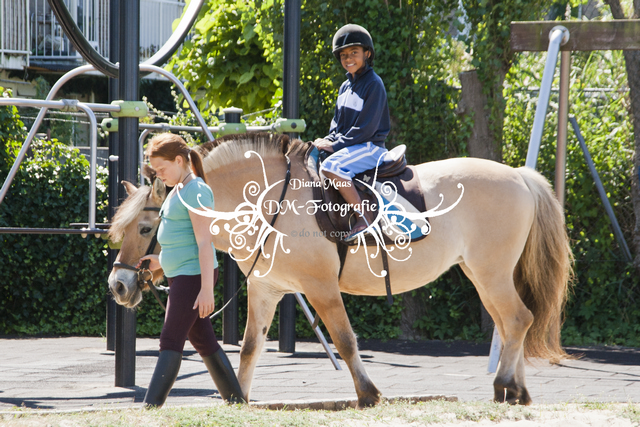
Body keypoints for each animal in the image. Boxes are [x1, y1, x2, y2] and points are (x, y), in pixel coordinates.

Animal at [108, 133, 573, 407]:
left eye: (147, 227)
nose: (119, 284)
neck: (269, 201)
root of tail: (519, 175)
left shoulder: (320, 288)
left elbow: (346, 341)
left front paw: (367, 394)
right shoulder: (266, 290)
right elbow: (249, 348)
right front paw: (240, 397)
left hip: (491, 273)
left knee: (518, 319)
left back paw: (505, 386)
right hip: (482, 275)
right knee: (512, 323)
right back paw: (515, 388)